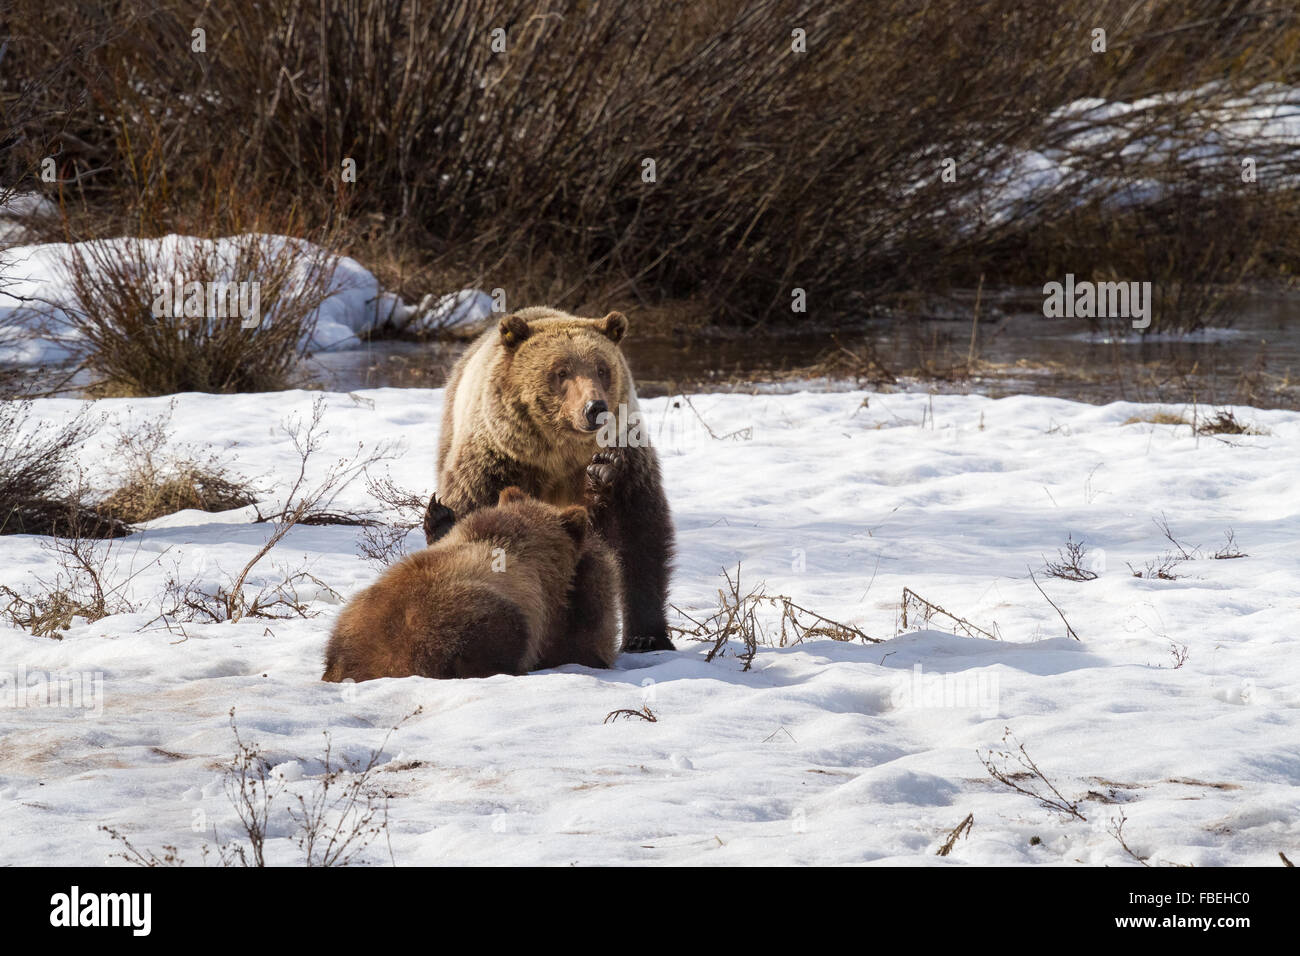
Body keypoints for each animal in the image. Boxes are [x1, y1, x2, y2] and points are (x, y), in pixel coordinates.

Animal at [426, 304, 676, 650]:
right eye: (561, 372)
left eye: (602, 368)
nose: (595, 407)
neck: (558, 453)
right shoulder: (498, 462)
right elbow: (475, 516)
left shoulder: (627, 459)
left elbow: (639, 537)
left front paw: (647, 637)